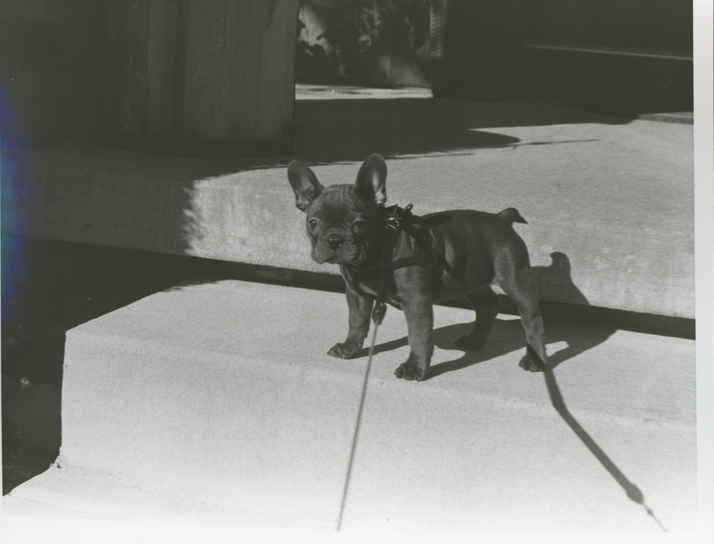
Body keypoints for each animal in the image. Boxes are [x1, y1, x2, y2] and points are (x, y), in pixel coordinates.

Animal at [287, 154, 546, 381]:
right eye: (313, 223)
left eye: (359, 224)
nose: (334, 240)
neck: (378, 251)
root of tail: (502, 218)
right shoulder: (357, 295)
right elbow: (356, 322)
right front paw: (350, 348)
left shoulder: (416, 299)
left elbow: (418, 336)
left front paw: (415, 367)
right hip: (469, 280)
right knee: (487, 305)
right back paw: (474, 340)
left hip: (516, 279)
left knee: (532, 319)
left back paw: (535, 359)